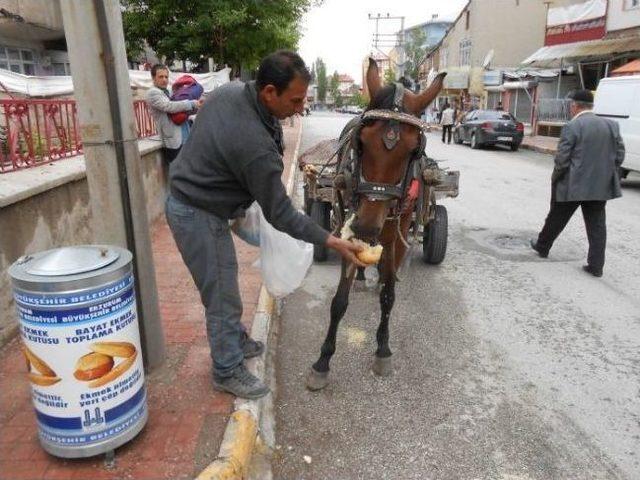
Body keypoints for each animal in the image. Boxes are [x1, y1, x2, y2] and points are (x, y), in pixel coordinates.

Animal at [304, 59, 444, 390]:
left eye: (414, 151)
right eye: (362, 142)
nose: (367, 228)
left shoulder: (394, 235)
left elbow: (389, 296)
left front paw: (382, 349)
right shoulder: (350, 228)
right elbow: (339, 301)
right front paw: (323, 360)